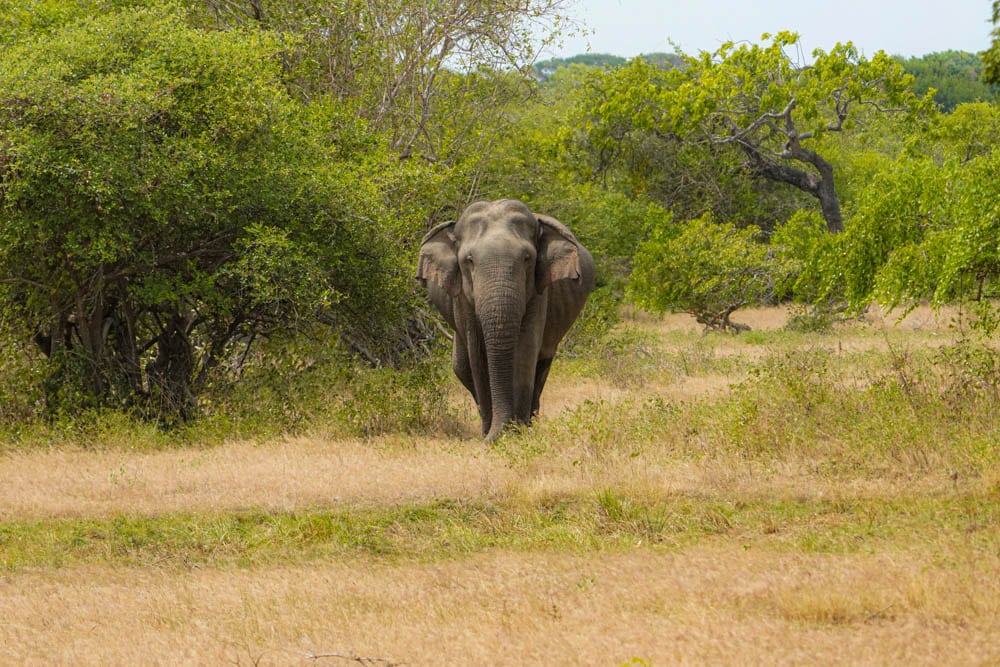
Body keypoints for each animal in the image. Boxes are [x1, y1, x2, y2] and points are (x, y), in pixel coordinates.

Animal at [416, 200, 592, 444]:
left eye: (527, 259)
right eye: (469, 261)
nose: (500, 432)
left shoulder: (538, 291)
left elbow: (525, 352)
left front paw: (517, 433)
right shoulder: (462, 298)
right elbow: (478, 355)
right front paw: (490, 435)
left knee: (542, 363)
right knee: (462, 367)